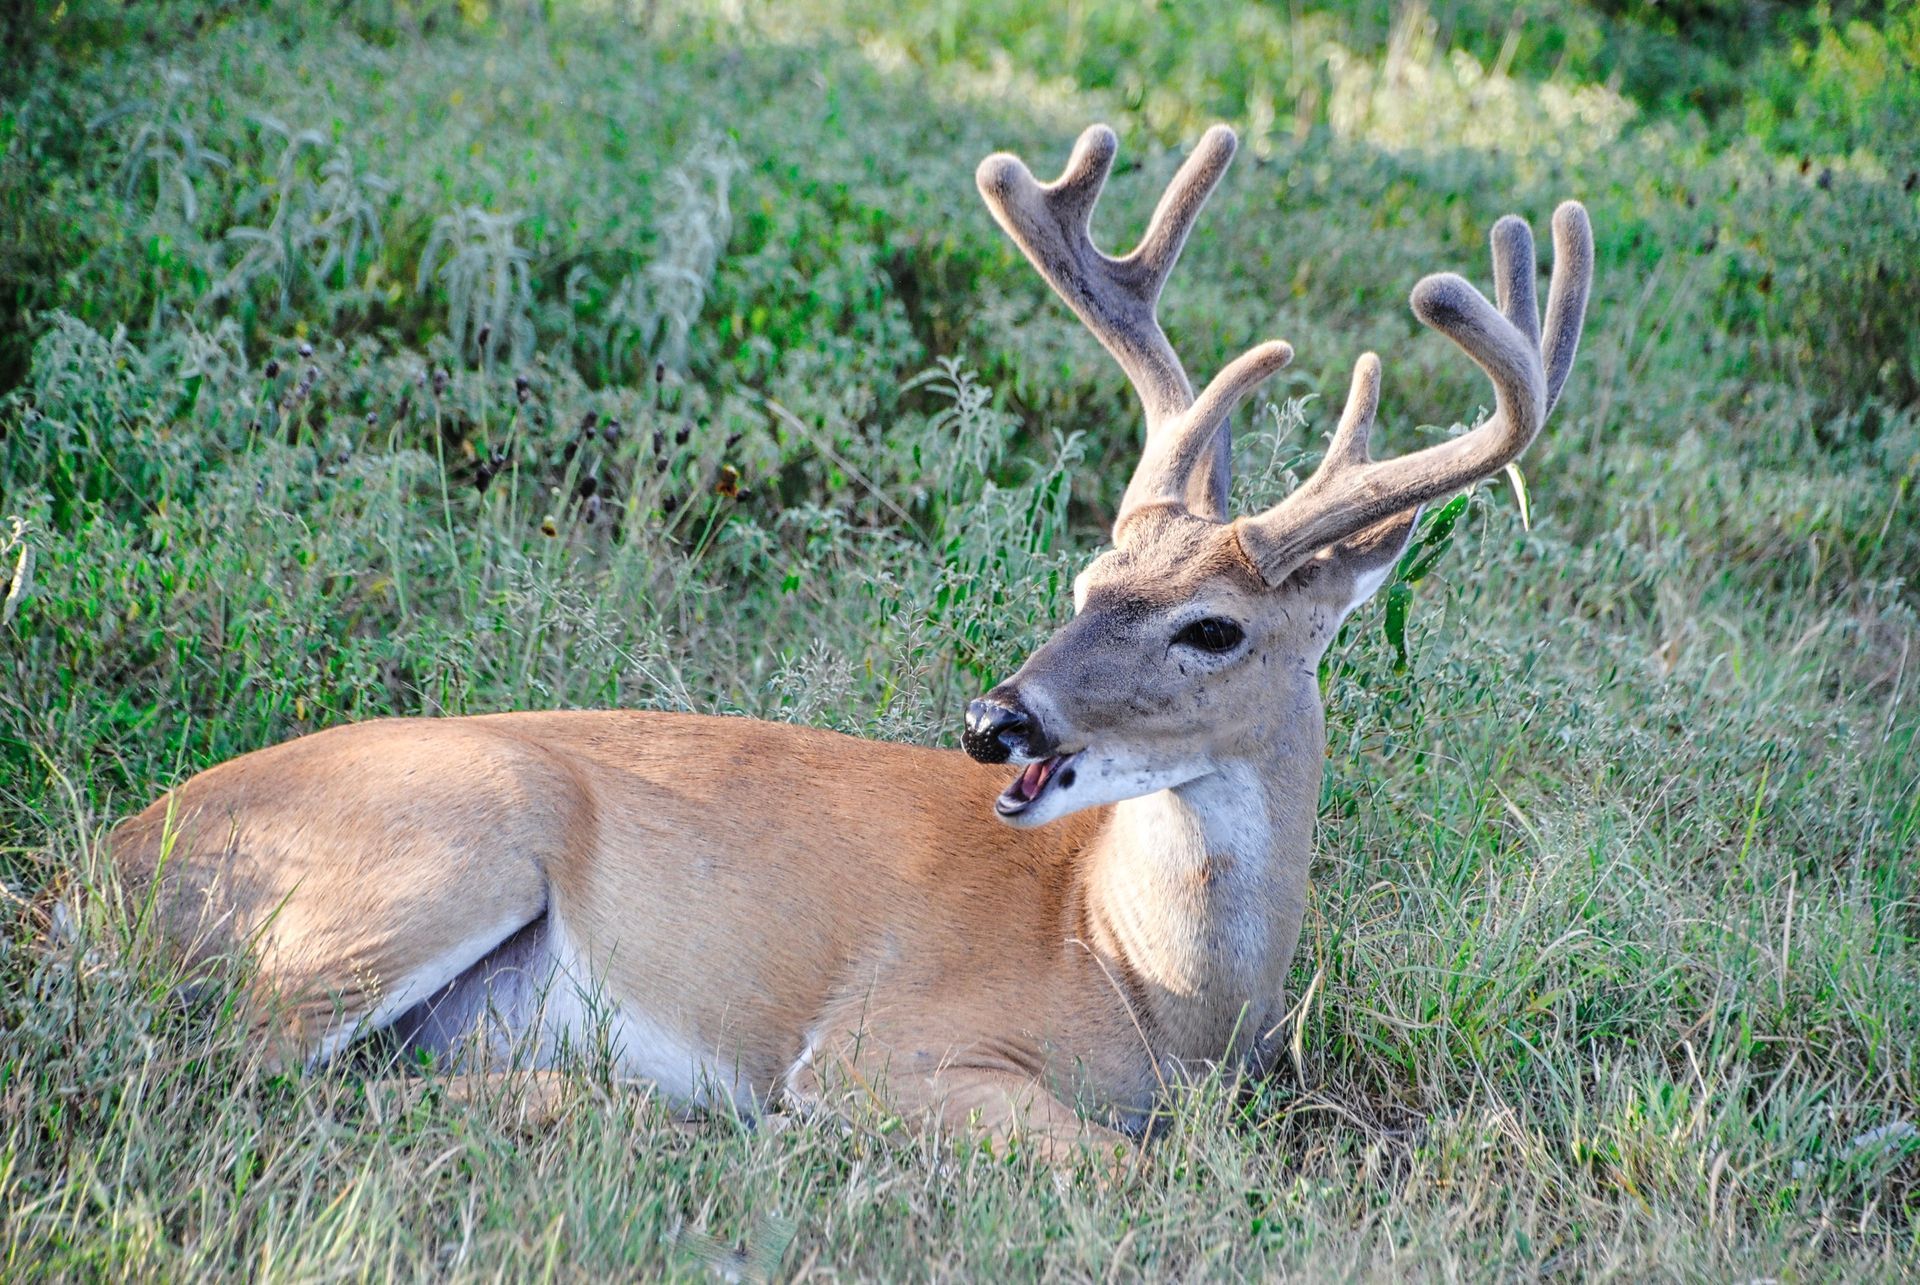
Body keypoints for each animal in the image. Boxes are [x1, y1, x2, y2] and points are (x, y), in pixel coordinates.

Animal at [108, 123, 1592, 1167]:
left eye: (1211, 627)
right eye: (1085, 570)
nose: (1000, 717)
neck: (1141, 976)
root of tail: (99, 867)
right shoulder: (889, 1040)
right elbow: (1127, 1163)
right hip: (446, 843)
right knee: (224, 1067)